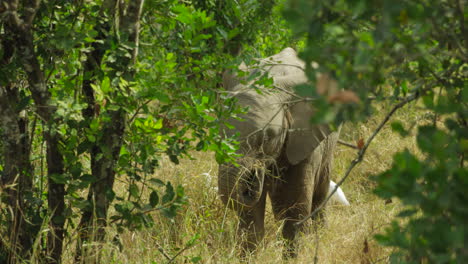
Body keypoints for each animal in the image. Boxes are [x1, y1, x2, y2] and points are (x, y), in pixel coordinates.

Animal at [218, 48, 342, 258]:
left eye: (267, 138)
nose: (255, 173)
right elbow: (250, 213)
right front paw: (248, 258)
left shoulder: (305, 138)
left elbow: (297, 206)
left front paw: (293, 259)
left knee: (320, 191)